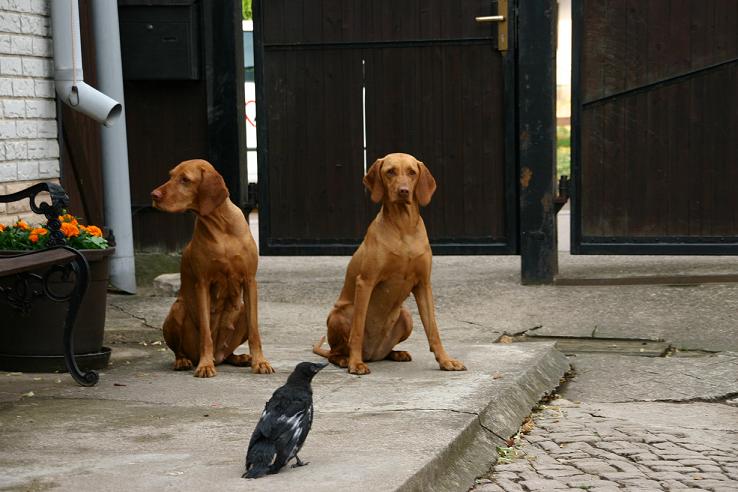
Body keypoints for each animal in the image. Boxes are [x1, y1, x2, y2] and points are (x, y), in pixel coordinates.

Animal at [150, 158, 274, 376]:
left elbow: (255, 331)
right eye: (170, 176)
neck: (221, 226)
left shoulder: (250, 281)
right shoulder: (203, 284)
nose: (153, 195)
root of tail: (219, 355)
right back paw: (185, 361)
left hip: (241, 310)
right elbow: (206, 332)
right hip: (177, 308)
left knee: (229, 353)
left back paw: (239, 357)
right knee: (180, 350)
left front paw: (260, 362)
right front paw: (205, 365)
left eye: (185, 179)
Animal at [312, 152, 462, 374]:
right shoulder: (365, 282)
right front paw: (355, 364)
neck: (403, 227)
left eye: (412, 172)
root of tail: (372, 353)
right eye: (390, 171)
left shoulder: (424, 284)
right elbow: (357, 329)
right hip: (340, 313)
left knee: (385, 350)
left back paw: (396, 353)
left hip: (406, 316)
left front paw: (445, 360)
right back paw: (346, 359)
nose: (404, 191)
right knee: (334, 352)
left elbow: (433, 329)